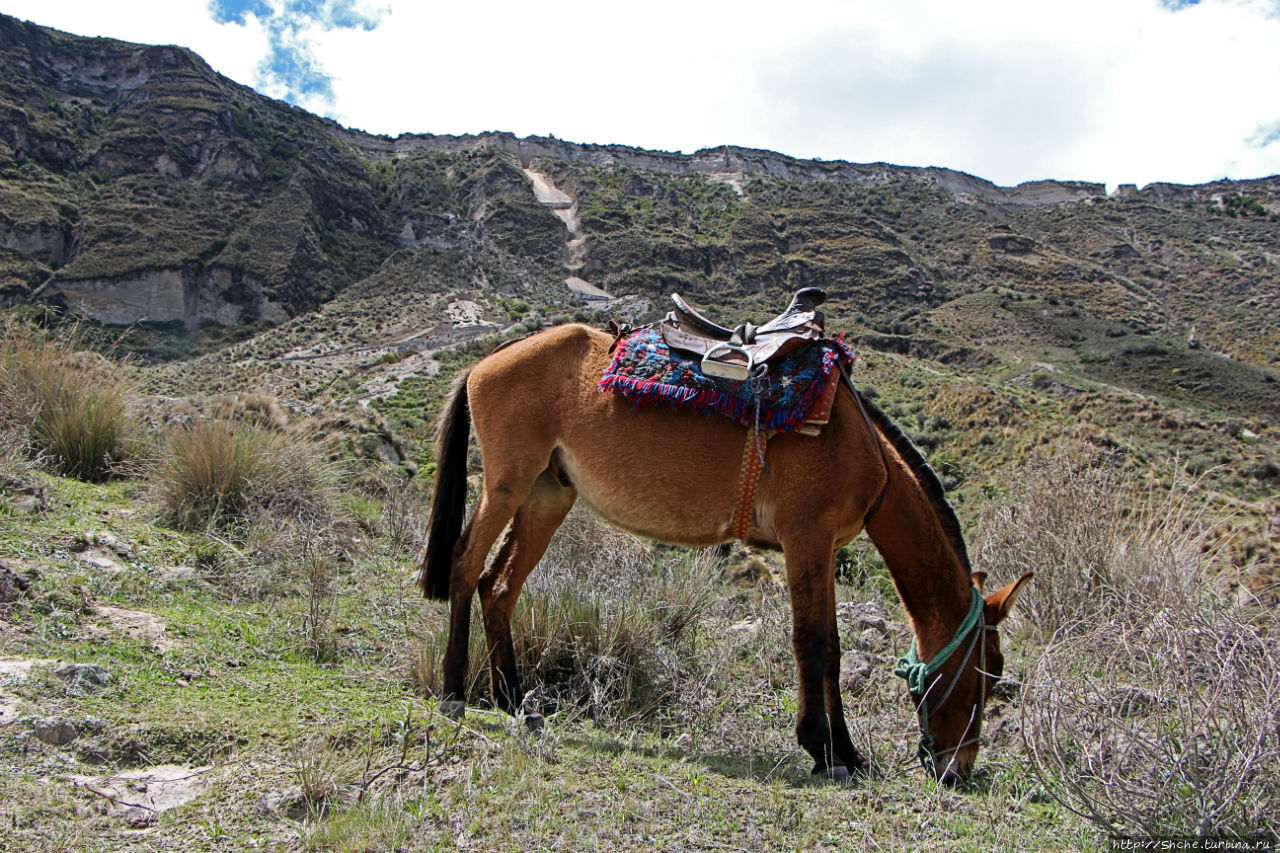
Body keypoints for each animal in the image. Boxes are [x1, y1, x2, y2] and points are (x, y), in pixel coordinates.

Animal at [417, 322, 1029, 778]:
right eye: (988, 675)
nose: (955, 769)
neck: (859, 446)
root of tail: (487, 360)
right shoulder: (807, 540)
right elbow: (815, 644)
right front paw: (826, 749)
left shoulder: (822, 548)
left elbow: (828, 647)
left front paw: (841, 751)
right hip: (507, 484)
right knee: (466, 564)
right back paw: (454, 692)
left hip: (546, 493)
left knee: (500, 584)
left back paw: (513, 700)